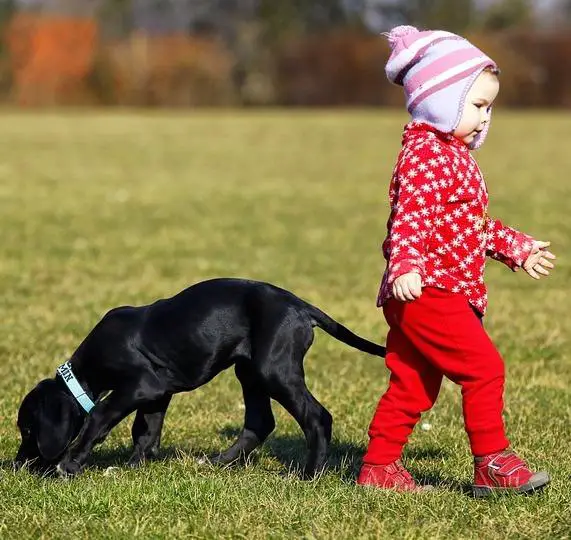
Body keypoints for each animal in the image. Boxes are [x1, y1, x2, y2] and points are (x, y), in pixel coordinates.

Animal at [15, 278, 386, 476]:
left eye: (29, 430)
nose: (18, 465)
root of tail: (299, 305)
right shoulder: (157, 393)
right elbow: (145, 431)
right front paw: (135, 466)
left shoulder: (139, 385)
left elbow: (99, 416)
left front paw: (70, 463)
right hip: (249, 370)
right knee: (259, 422)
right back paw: (218, 462)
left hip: (273, 368)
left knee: (316, 416)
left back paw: (310, 474)